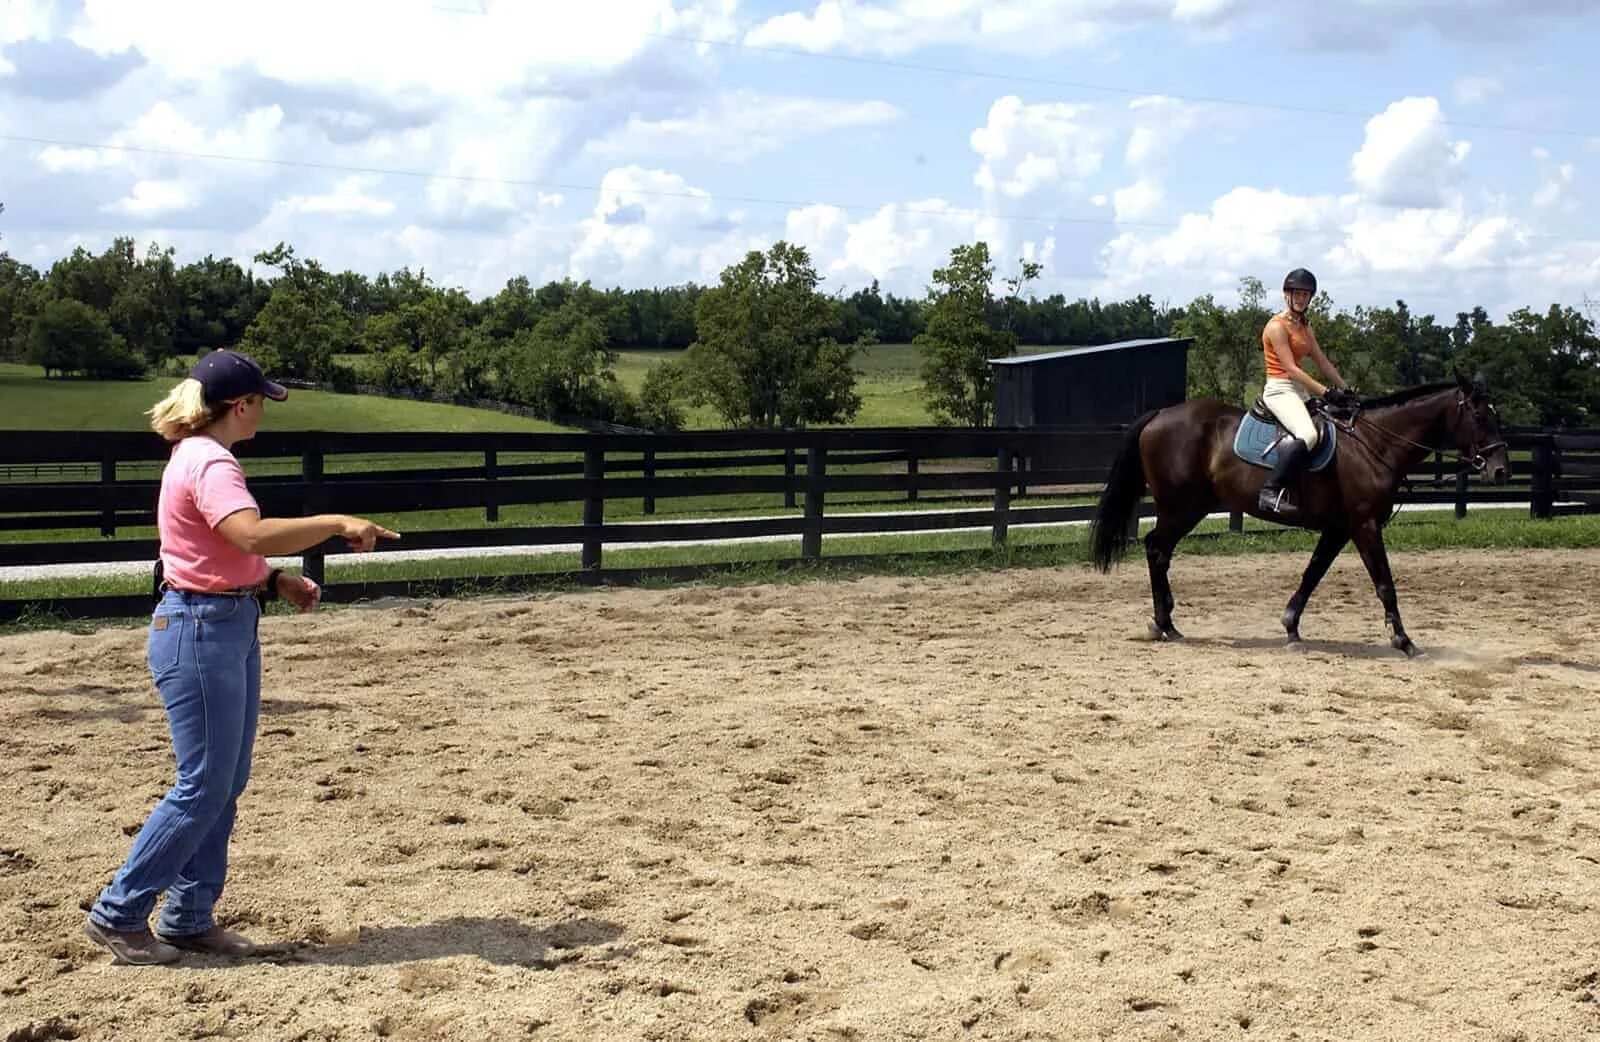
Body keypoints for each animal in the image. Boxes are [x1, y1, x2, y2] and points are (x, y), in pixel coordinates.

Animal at [1088, 374, 1510, 653]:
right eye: (1479, 416)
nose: (1500, 471)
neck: (1375, 444)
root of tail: (1160, 414)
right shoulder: (1365, 525)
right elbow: (1385, 583)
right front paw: (1404, 641)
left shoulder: (1339, 528)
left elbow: (1312, 574)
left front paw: (1291, 628)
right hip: (1181, 507)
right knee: (1157, 549)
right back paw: (1164, 623)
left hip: (1189, 508)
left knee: (1159, 550)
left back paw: (1167, 624)